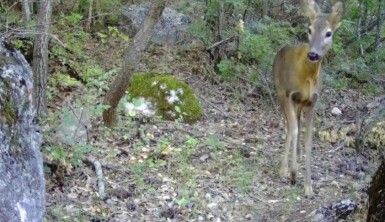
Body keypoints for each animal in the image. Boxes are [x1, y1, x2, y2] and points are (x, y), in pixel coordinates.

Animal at [272, 0, 342, 195]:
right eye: (309, 29)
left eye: (328, 33)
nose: (313, 54)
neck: (307, 76)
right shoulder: (288, 94)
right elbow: (294, 130)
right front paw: (292, 172)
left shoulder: (312, 102)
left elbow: (309, 140)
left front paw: (309, 186)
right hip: (280, 92)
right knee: (291, 127)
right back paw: (285, 169)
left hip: (300, 104)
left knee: (296, 123)